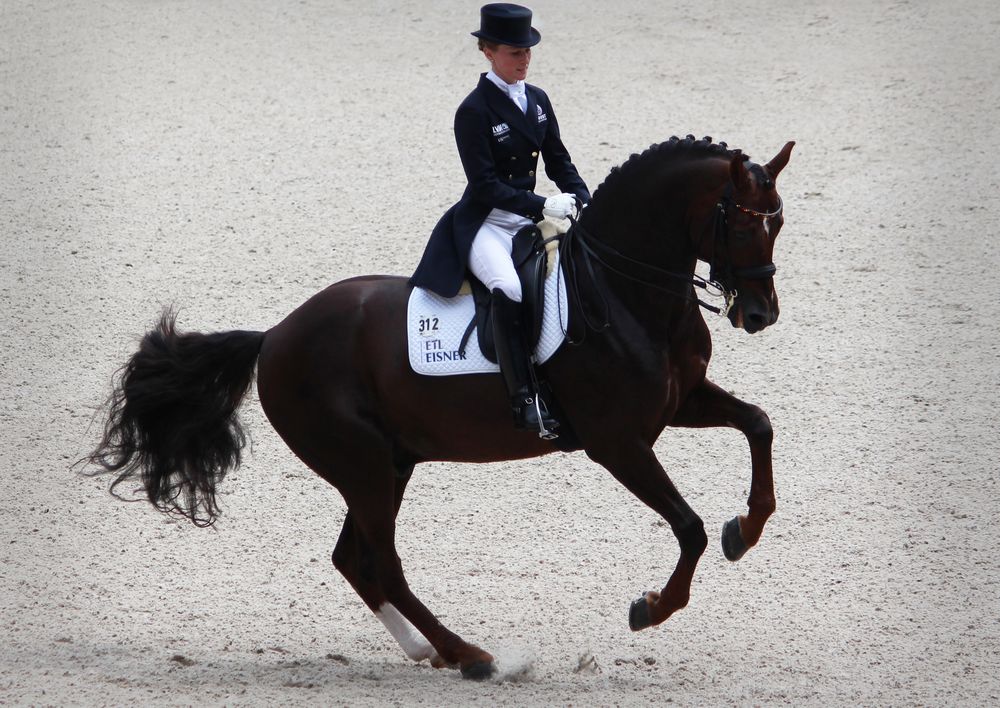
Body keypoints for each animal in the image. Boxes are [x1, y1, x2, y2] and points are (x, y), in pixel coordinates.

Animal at [85, 135, 794, 679]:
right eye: (739, 222)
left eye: (780, 221)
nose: (759, 315)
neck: (623, 294)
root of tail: (276, 335)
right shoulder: (617, 442)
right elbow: (689, 527)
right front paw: (652, 606)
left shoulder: (678, 404)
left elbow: (759, 425)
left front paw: (746, 528)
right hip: (365, 466)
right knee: (383, 563)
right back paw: (471, 655)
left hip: (388, 464)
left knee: (355, 560)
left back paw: (432, 651)